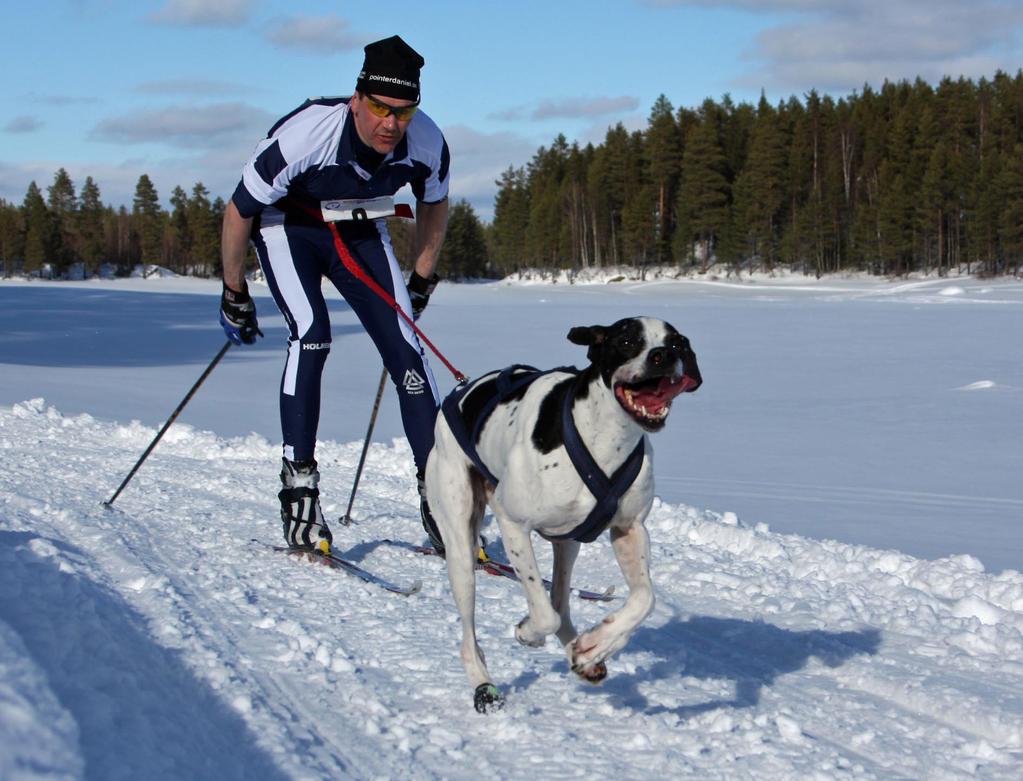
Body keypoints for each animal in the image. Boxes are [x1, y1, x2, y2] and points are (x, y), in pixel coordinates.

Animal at [425, 315, 703, 712]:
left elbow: (644, 599)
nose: (662, 356)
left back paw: (581, 651)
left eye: (677, 342)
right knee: (473, 632)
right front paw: (528, 632)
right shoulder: (513, 522)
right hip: (461, 545)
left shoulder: (629, 529)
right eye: (626, 340)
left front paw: (595, 645)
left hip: (568, 541)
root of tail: (462, 392)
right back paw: (483, 685)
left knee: (560, 600)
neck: (605, 439)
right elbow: (543, 614)